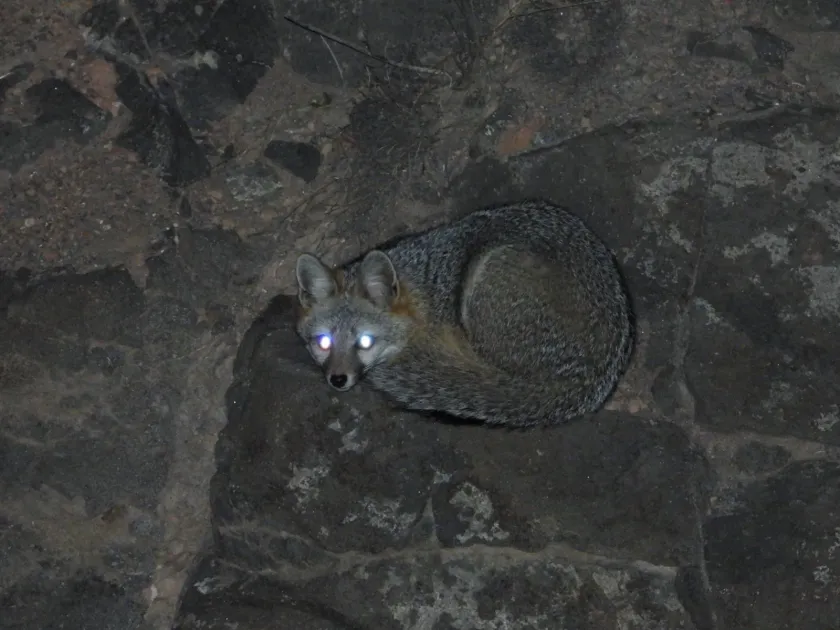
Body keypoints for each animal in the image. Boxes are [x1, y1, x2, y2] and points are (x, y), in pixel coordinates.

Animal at [294, 200, 634, 428]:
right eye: (323, 342)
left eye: (365, 342)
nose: (338, 380)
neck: (426, 291)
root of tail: (585, 377)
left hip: (488, 275)